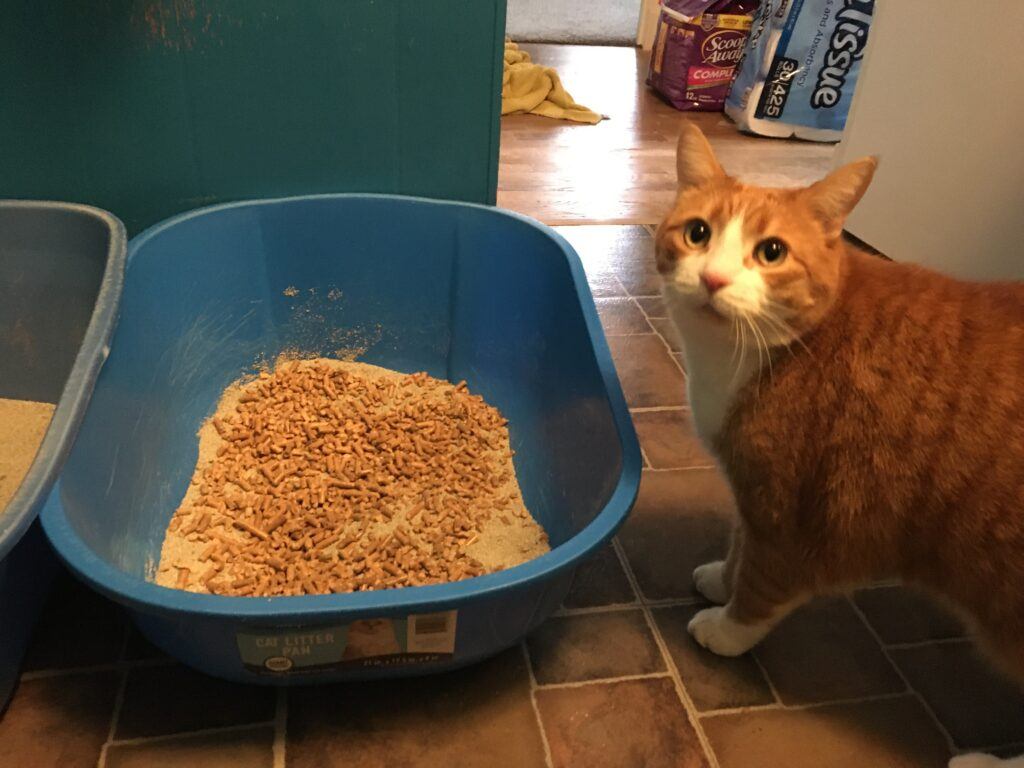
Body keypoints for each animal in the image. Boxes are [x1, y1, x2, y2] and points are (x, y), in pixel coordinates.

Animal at [655, 123, 1024, 765]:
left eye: (771, 252)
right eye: (698, 233)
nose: (712, 279)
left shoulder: (791, 508)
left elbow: (762, 582)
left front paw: (725, 627)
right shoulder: (753, 493)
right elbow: (739, 544)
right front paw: (720, 579)